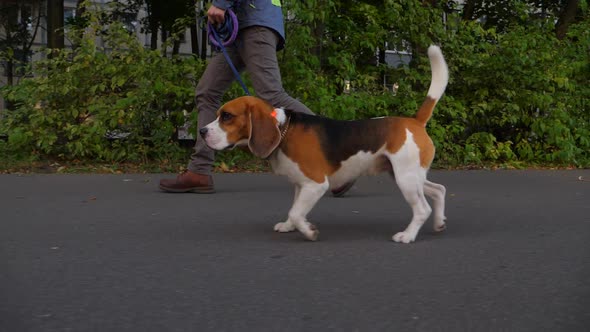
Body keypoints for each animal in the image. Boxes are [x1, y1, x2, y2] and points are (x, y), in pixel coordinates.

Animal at [201, 45, 450, 244]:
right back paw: (439, 222)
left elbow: (296, 212)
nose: (202, 132)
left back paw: (407, 235)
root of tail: (414, 121)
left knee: (422, 209)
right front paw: (290, 226)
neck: (284, 130)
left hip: (405, 178)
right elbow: (294, 209)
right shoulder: (300, 184)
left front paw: (308, 231)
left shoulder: (316, 184)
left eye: (227, 117)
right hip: (407, 175)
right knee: (439, 190)